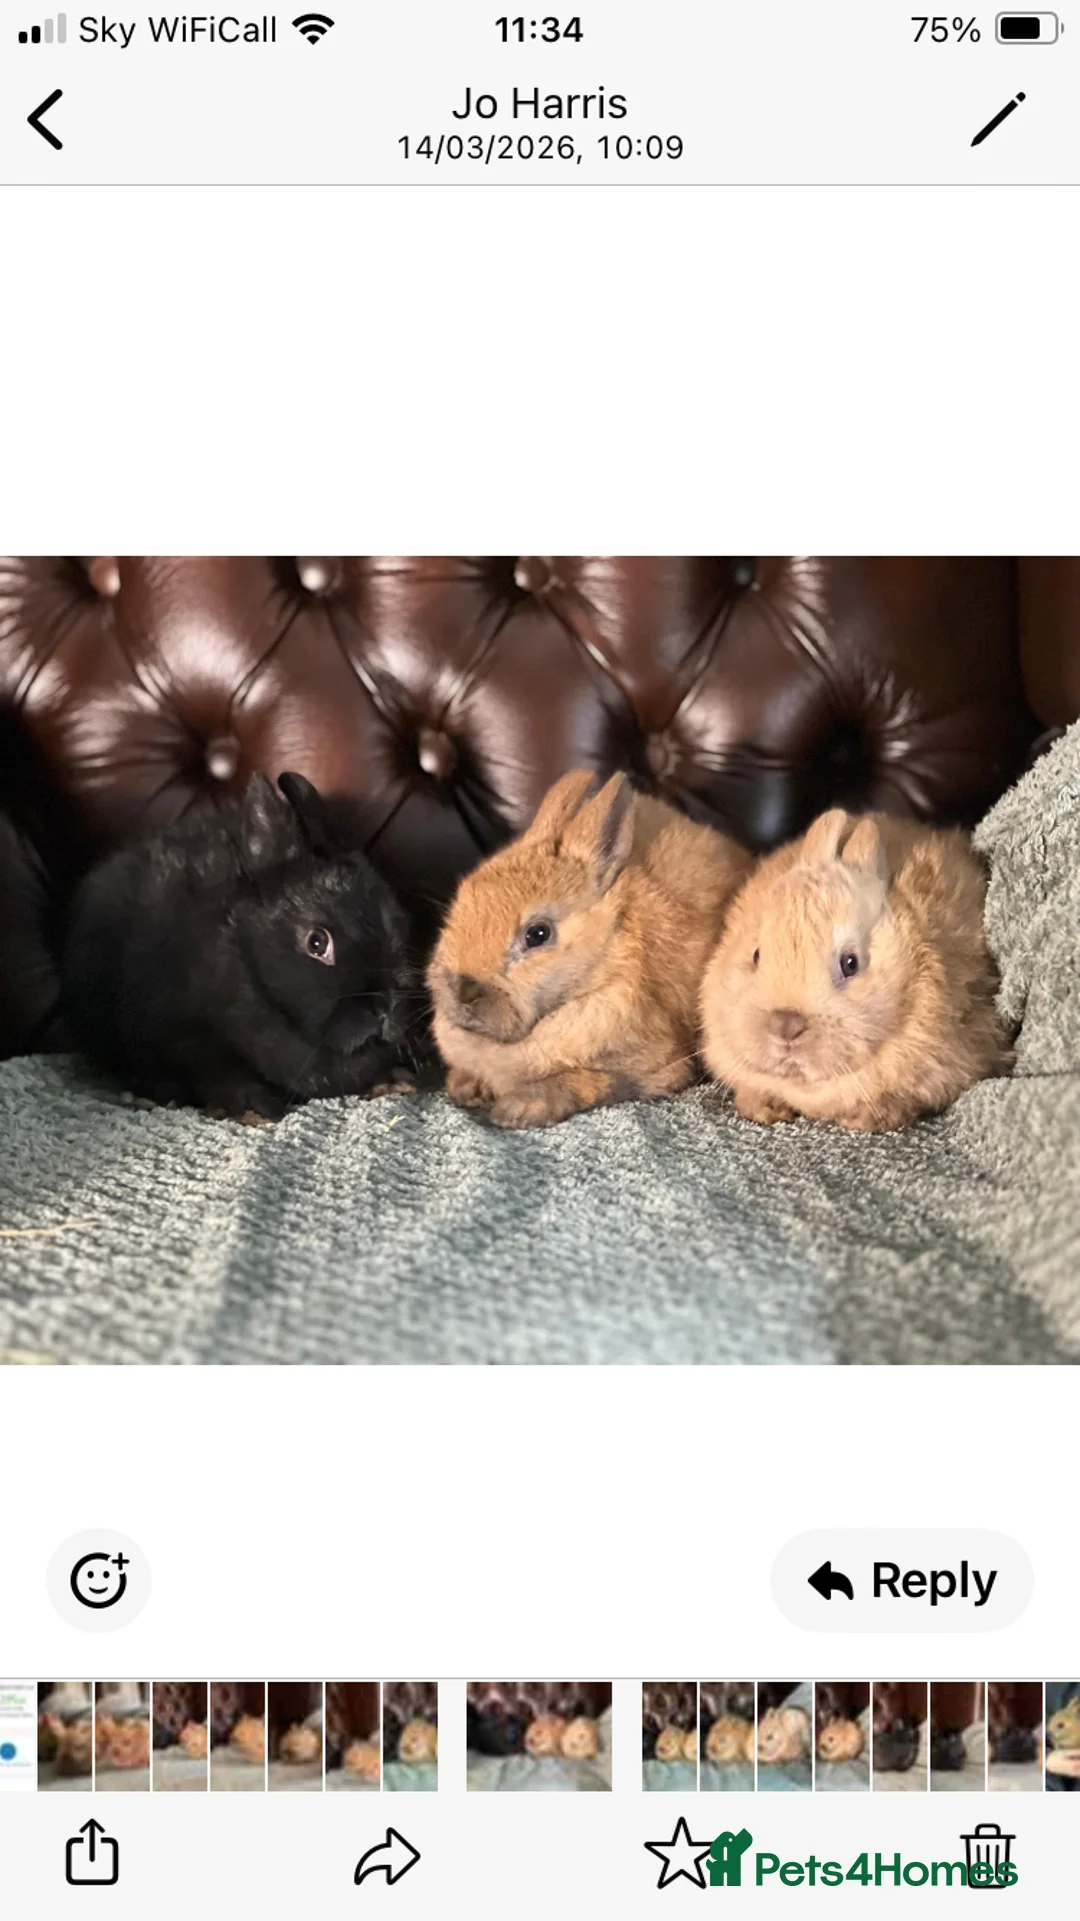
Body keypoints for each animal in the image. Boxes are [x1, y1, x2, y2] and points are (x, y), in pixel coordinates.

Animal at [62, 770, 428, 1120]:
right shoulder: (184, 1040)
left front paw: (391, 1080)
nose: (385, 1006)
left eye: (396, 920)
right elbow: (217, 1073)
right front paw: (254, 1108)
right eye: (317, 942)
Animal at [429, 768, 752, 1129]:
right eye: (462, 899)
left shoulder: (656, 1068)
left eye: (537, 934)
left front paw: (518, 1110)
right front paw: (466, 1088)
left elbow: (585, 1079)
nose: (461, 991)